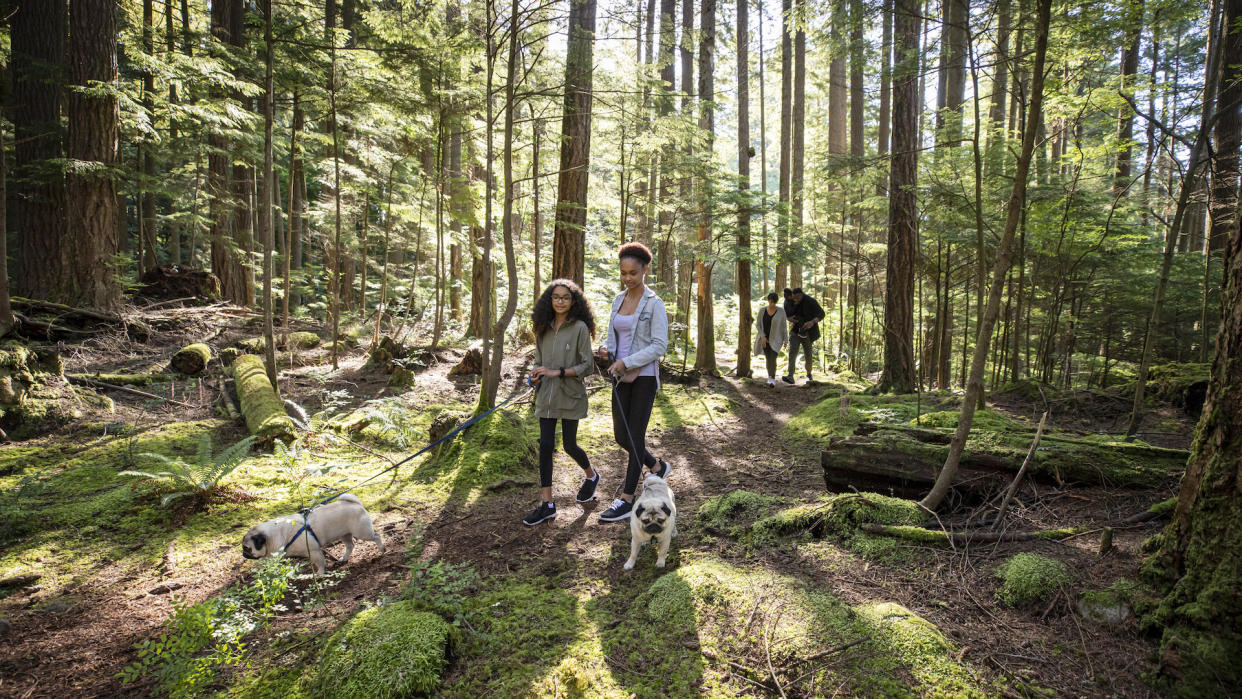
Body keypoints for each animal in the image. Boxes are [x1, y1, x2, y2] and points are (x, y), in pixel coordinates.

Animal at [239, 491, 380, 573]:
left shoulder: (314, 551)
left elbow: (321, 563)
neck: (277, 534)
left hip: (362, 532)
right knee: (350, 545)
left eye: (247, 548)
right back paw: (344, 559)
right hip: (345, 534)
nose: (243, 554)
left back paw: (382, 550)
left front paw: (320, 574)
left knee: (377, 536)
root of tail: (356, 503)